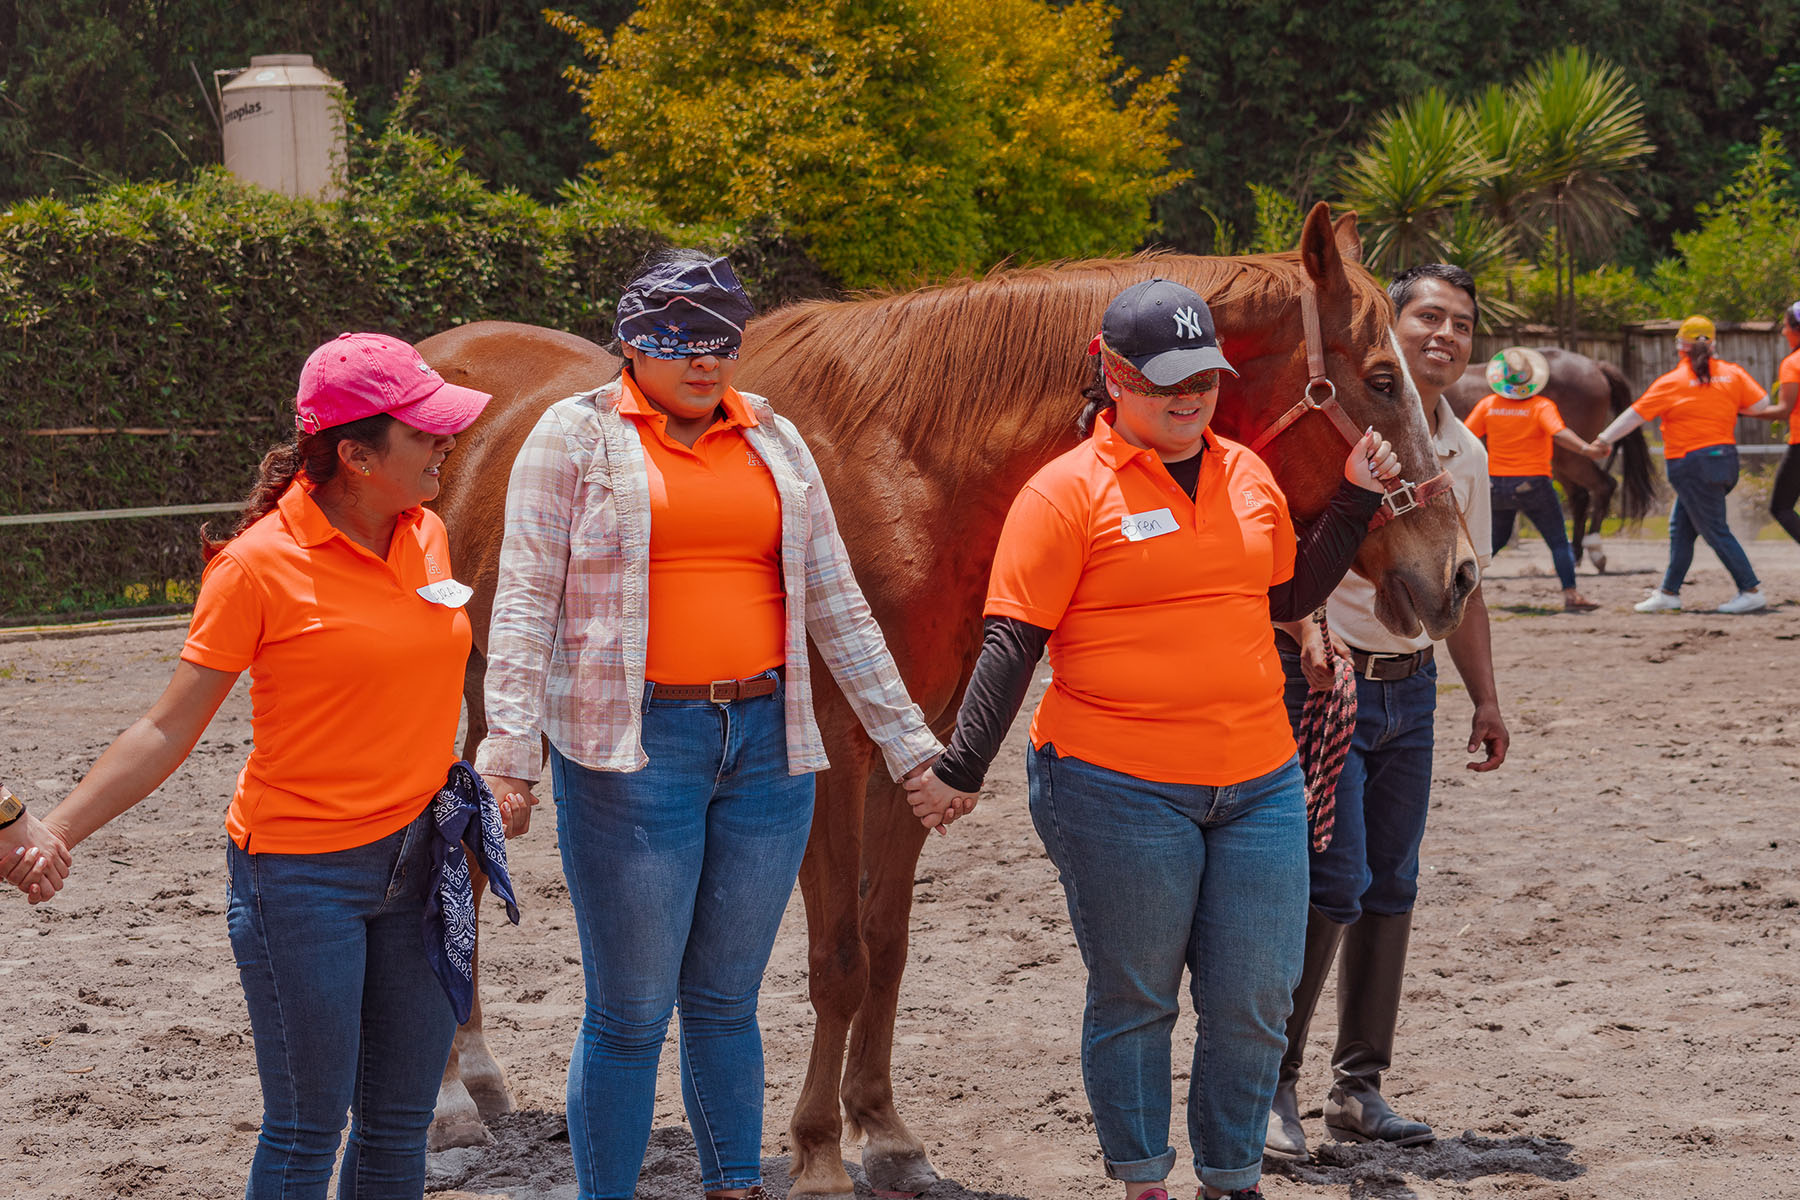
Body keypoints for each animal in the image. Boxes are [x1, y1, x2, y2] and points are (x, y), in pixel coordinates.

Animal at [418, 202, 1480, 1195]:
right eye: (1381, 380)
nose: (1459, 573)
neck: (904, 466)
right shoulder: (834, 754)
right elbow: (839, 956)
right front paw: (816, 1150)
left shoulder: (920, 738)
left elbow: (886, 945)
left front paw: (885, 1134)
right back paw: (448, 1105)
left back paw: (476, 1083)